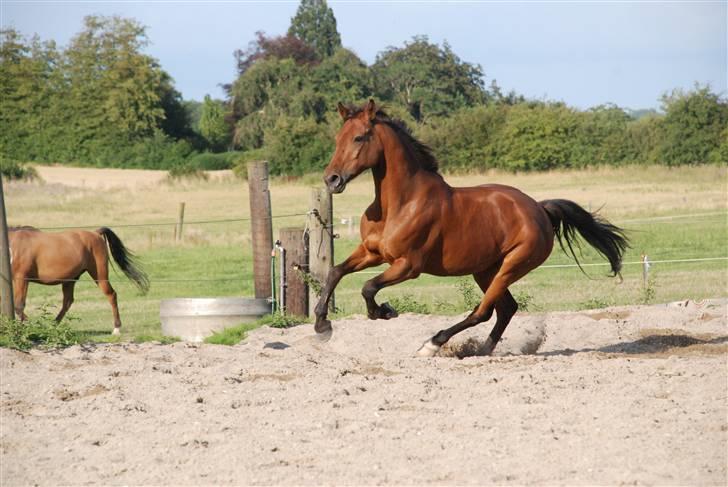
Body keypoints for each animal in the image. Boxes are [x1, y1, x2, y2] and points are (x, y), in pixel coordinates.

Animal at [8, 228, 149, 336]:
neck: (11, 247)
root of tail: (95, 233)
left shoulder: (22, 278)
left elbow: (19, 305)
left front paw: (27, 326)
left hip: (99, 276)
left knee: (111, 295)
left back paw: (116, 328)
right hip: (70, 280)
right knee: (67, 302)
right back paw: (53, 325)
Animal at [312, 99, 624, 358]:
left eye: (359, 137)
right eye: (338, 138)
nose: (332, 179)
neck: (399, 204)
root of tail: (539, 209)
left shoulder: (408, 265)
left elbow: (368, 287)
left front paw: (385, 311)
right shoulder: (372, 252)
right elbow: (336, 272)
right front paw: (322, 325)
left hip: (511, 266)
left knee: (484, 311)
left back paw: (433, 345)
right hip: (486, 270)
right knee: (505, 309)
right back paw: (482, 350)